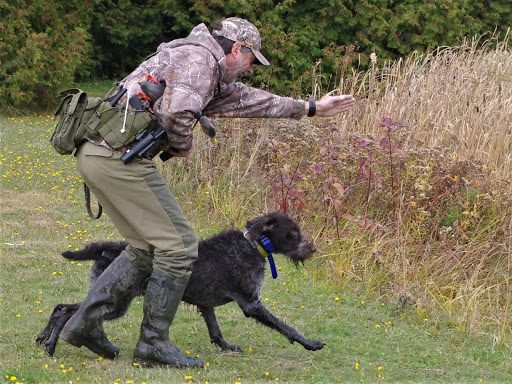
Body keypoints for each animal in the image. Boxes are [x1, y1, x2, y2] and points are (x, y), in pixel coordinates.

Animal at [36, 212, 326, 356]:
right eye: (293, 232)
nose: (313, 248)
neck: (252, 245)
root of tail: (109, 248)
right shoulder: (251, 303)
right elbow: (286, 327)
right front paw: (309, 343)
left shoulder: (206, 304)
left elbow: (215, 331)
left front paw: (226, 347)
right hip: (116, 302)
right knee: (71, 312)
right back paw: (51, 345)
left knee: (62, 307)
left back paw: (43, 338)